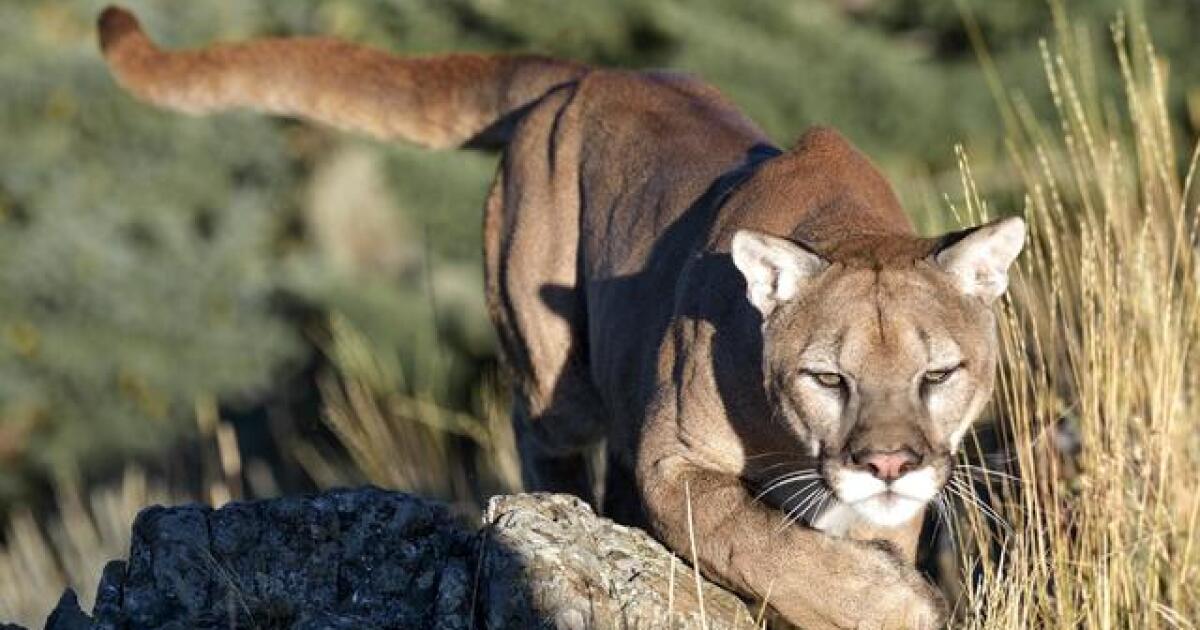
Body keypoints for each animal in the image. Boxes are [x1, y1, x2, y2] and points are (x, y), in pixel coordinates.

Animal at [97, 7, 1025, 628]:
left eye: (938, 374)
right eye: (827, 377)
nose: (889, 465)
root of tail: (589, 73)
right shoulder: (671, 459)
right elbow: (755, 539)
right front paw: (895, 603)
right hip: (552, 364)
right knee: (543, 429)